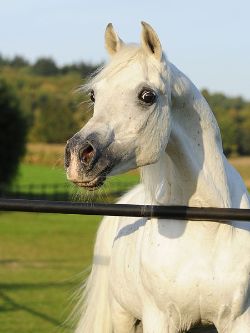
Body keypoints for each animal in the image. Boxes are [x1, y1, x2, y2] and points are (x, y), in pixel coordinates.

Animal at [65, 22, 250, 330]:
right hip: (123, 315)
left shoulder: (238, 321)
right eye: (94, 96)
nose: (78, 156)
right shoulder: (160, 319)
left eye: (147, 96)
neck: (206, 223)